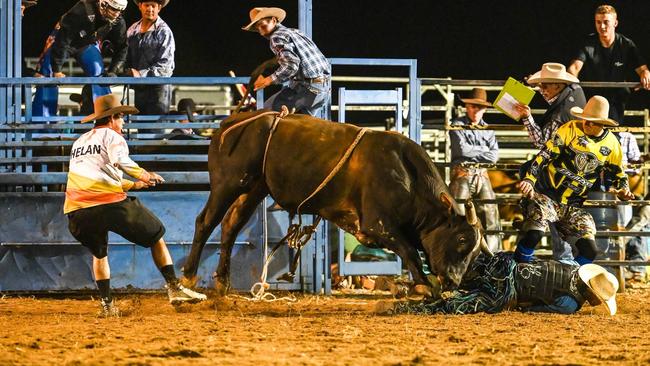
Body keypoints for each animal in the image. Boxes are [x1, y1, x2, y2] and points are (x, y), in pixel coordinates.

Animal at [181, 110, 486, 296]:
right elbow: (410, 251)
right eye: (461, 240)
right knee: (205, 222)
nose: (453, 281)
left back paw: (223, 283)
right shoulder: (377, 224)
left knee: (231, 226)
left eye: (474, 253)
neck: (407, 175)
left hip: (254, 188)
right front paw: (422, 286)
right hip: (228, 183)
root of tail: (230, 123)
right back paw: (188, 279)